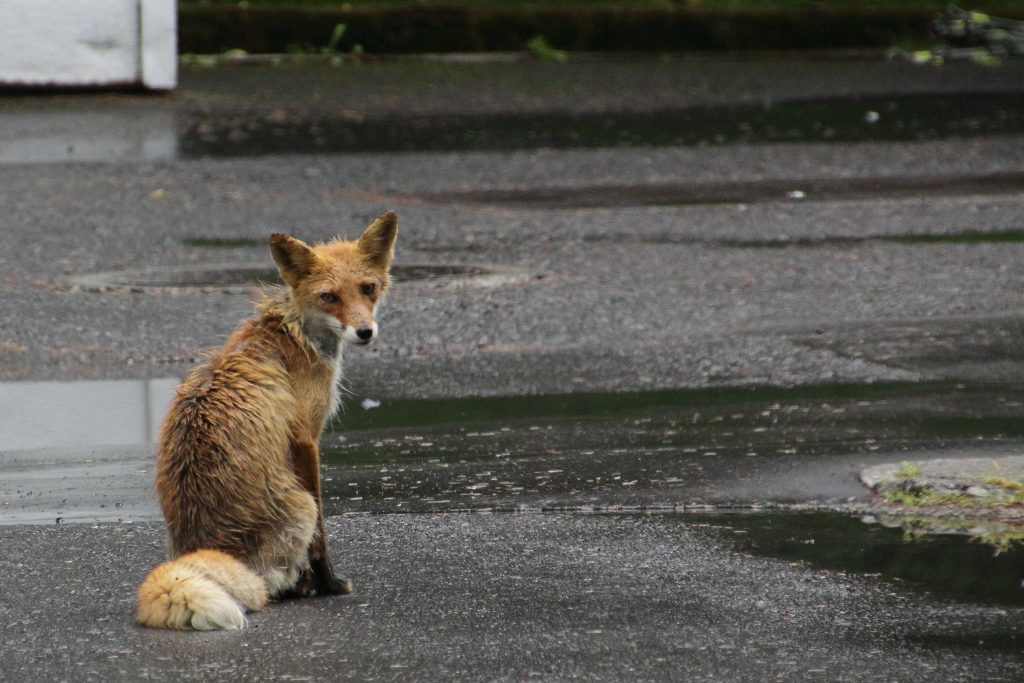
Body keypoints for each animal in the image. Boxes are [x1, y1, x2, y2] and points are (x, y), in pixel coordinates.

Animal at [139, 211, 399, 630]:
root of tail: (204, 546)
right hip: (301, 505)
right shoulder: (306, 439)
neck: (296, 334)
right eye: (329, 297)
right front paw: (329, 583)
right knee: (277, 574)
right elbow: (321, 538)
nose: (365, 332)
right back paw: (300, 586)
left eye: (368, 288)